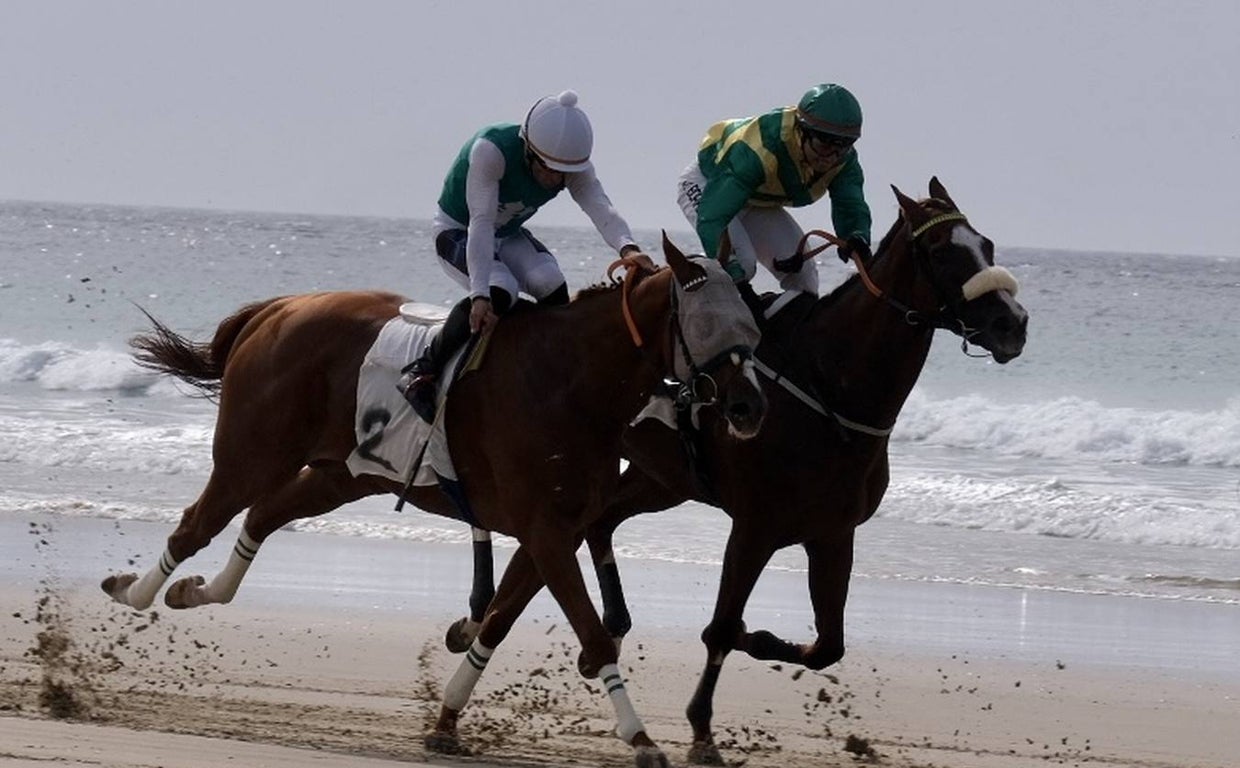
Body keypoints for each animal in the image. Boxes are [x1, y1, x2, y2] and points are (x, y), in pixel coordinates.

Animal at [101, 235, 763, 768]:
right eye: (710, 324)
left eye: (752, 327)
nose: (748, 407)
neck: (572, 382)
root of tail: (278, 308)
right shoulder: (548, 533)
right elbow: (591, 634)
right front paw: (642, 740)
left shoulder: (554, 531)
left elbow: (496, 621)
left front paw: (446, 720)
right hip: (252, 454)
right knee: (197, 524)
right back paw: (134, 593)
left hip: (344, 474)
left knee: (262, 516)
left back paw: (191, 591)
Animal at [446, 178, 1026, 764]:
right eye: (942, 252)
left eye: (987, 245)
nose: (1013, 324)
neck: (829, 389)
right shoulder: (754, 527)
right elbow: (722, 627)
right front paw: (702, 731)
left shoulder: (833, 532)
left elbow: (827, 646)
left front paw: (760, 641)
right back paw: (488, 619)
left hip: (661, 480)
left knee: (598, 524)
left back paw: (592, 631)